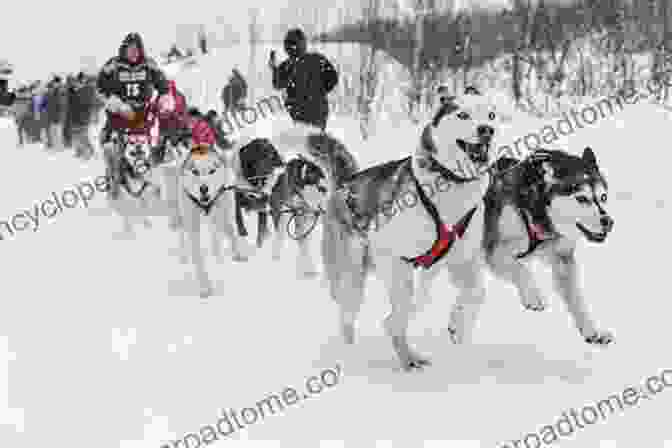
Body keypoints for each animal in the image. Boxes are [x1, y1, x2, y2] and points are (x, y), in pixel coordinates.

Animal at [320, 88, 498, 372]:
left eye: (491, 115)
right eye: (463, 115)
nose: (486, 130)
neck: (450, 183)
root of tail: (345, 184)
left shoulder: (463, 261)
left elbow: (476, 294)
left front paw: (458, 325)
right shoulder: (392, 256)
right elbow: (398, 314)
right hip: (351, 276)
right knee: (351, 316)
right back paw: (365, 355)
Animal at [480, 149, 616, 344]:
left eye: (603, 197)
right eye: (582, 198)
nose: (608, 222)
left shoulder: (563, 260)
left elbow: (577, 298)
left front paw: (592, 330)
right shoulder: (494, 250)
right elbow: (520, 269)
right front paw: (533, 295)